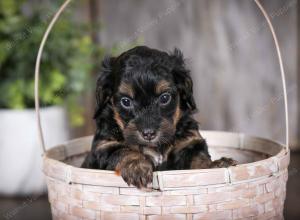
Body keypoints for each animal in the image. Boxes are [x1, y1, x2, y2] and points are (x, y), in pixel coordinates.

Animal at [82, 46, 237, 189]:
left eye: (164, 98)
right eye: (125, 101)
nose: (149, 134)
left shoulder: (189, 142)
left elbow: (199, 157)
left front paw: (214, 165)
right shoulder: (103, 147)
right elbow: (123, 150)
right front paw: (138, 168)